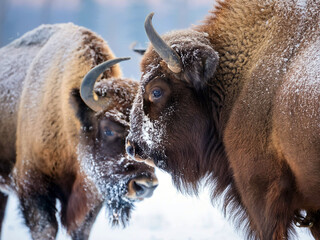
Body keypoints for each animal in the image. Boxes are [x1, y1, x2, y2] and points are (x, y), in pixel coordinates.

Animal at [0, 23, 158, 240]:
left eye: (147, 128)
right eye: (109, 130)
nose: (145, 185)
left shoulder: (90, 193)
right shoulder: (32, 186)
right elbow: (45, 228)